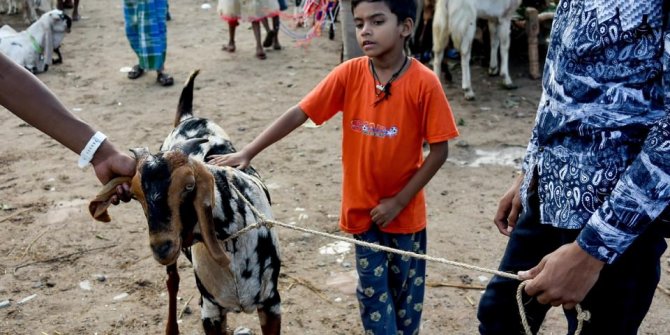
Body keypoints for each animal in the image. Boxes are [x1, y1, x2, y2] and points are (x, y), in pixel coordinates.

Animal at [90, 69, 280, 334]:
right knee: (172, 280)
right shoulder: (210, 309)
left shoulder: (272, 303)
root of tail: (189, 118)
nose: (161, 247)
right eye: (136, 195)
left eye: (189, 186)